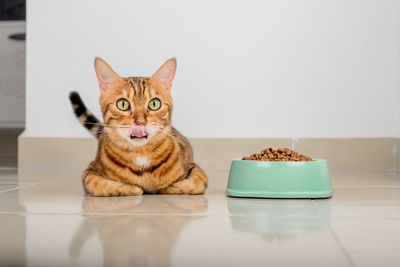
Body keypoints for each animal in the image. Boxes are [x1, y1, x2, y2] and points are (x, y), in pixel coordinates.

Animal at [69, 58, 208, 197]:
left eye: (154, 104)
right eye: (123, 104)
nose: (140, 122)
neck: (141, 154)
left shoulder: (193, 166)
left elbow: (198, 181)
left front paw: (172, 187)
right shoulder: (90, 171)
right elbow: (95, 183)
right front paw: (131, 188)